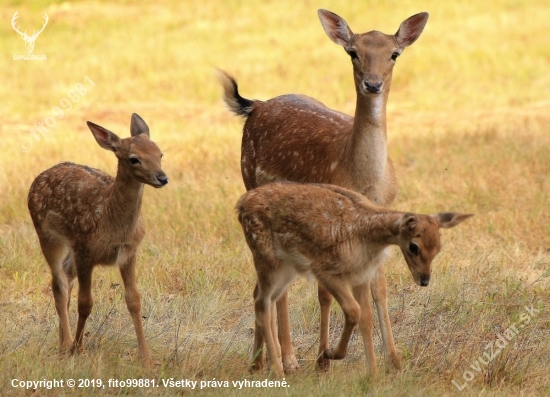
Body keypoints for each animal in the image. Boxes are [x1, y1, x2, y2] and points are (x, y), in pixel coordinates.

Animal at [28, 113, 168, 364]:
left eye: (159, 153)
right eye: (134, 159)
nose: (162, 178)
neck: (110, 222)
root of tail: (40, 176)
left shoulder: (129, 251)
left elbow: (134, 300)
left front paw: (146, 357)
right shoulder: (85, 250)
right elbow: (85, 303)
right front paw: (78, 349)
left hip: (70, 247)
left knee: (66, 277)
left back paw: (62, 341)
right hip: (47, 235)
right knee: (59, 284)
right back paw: (66, 344)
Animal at [220, 8, 432, 372]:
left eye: (394, 53)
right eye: (353, 52)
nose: (372, 84)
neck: (365, 179)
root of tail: (256, 105)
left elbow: (379, 290)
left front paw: (394, 361)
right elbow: (326, 293)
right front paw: (324, 357)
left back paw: (264, 361)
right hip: (251, 181)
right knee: (274, 289)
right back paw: (284, 359)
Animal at [237, 181, 474, 376]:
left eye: (438, 248)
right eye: (414, 246)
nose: (424, 280)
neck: (366, 237)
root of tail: (240, 205)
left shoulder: (361, 276)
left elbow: (366, 318)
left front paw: (373, 375)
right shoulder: (324, 269)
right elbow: (353, 311)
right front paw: (331, 354)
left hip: (287, 267)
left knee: (262, 297)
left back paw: (258, 366)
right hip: (268, 258)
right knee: (262, 302)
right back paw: (277, 372)